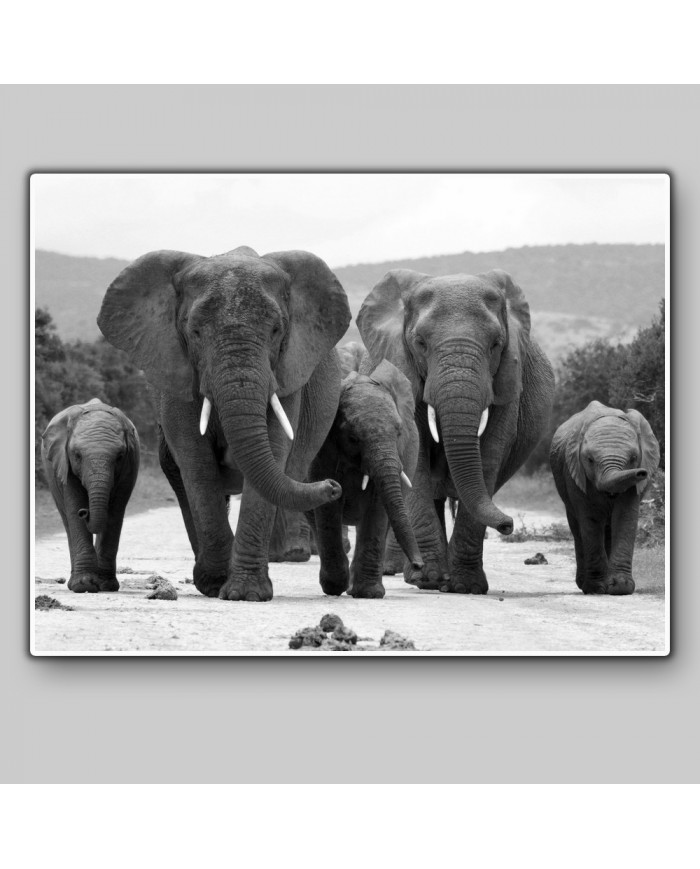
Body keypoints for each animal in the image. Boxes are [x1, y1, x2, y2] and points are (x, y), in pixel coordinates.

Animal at [41, 398, 140, 593]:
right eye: (77, 455)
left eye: (120, 456)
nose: (84, 512)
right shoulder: (64, 463)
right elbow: (73, 506)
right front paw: (84, 585)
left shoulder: (129, 466)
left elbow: (115, 513)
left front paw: (106, 585)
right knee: (67, 519)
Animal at [98, 246, 351, 602]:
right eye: (195, 332)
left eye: (276, 331)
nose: (333, 486)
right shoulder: (177, 370)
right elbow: (196, 461)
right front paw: (218, 584)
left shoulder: (286, 371)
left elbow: (274, 449)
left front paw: (246, 593)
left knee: (292, 474)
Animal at [309, 357, 423, 598]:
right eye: (353, 438)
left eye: (399, 432)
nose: (419, 565)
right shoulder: (323, 450)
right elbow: (328, 505)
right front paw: (336, 587)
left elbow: (377, 507)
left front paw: (368, 593)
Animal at [357, 267, 555, 594]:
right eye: (420, 343)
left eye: (496, 344)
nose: (508, 525)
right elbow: (418, 458)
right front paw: (429, 580)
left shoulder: (506, 384)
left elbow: (489, 456)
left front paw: (466, 586)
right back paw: (421, 575)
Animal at [549, 400, 660, 595]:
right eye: (590, 459)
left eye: (634, 458)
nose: (642, 473)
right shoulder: (575, 474)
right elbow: (590, 520)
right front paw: (597, 588)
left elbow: (625, 517)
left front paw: (620, 587)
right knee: (578, 528)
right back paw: (584, 585)